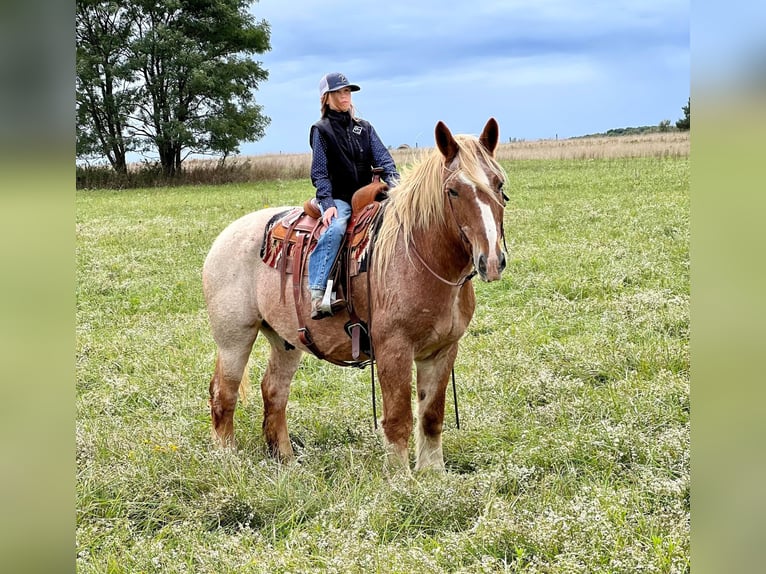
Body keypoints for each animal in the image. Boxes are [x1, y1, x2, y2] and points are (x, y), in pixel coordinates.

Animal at [202, 118, 510, 472]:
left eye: (499, 184)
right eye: (453, 190)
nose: (491, 261)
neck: (418, 256)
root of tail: (224, 237)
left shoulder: (443, 350)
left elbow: (431, 417)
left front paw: (433, 475)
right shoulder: (393, 349)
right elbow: (398, 420)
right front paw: (400, 478)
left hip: (286, 340)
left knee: (274, 391)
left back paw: (287, 460)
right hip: (234, 338)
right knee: (223, 394)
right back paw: (227, 460)